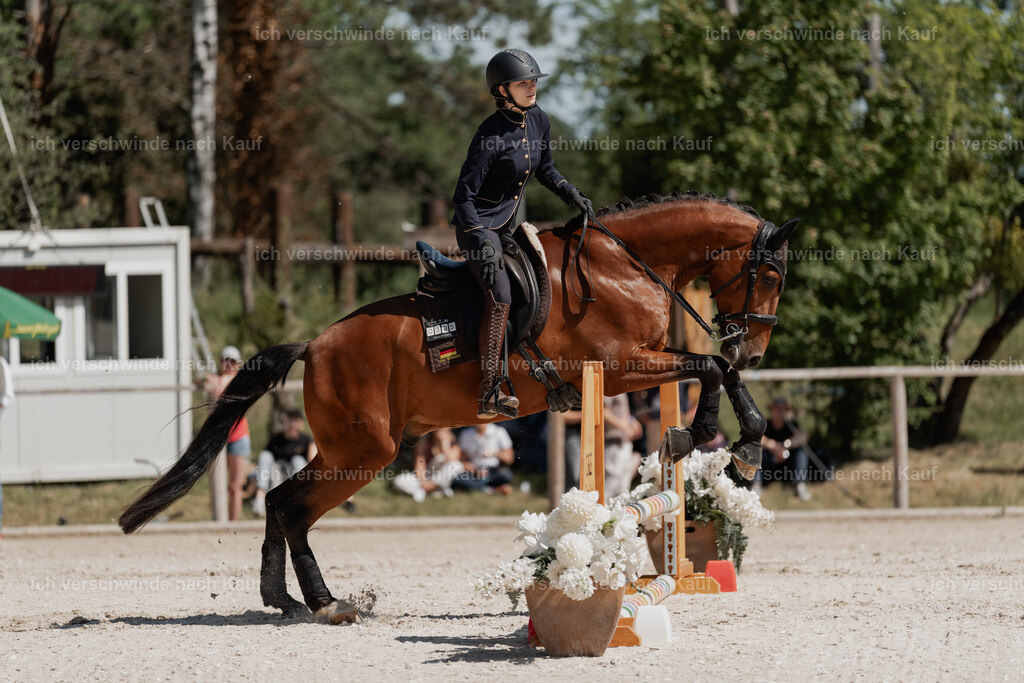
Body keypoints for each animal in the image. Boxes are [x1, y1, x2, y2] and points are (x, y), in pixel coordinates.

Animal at [119, 191, 798, 624]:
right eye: (770, 274)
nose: (755, 346)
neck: (625, 266)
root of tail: (314, 344)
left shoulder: (640, 362)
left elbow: (717, 369)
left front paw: (743, 442)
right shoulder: (620, 365)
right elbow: (709, 366)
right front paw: (715, 436)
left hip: (355, 448)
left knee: (278, 499)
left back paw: (283, 599)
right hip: (365, 451)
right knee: (291, 505)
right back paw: (326, 603)